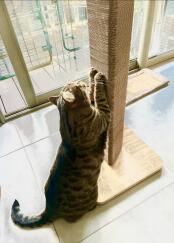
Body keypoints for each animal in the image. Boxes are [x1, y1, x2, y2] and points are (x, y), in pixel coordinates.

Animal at [10, 68, 110, 228]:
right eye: (76, 84)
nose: (79, 81)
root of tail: (48, 209)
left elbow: (92, 93)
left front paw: (92, 74)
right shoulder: (104, 116)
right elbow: (98, 95)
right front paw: (98, 77)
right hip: (91, 196)